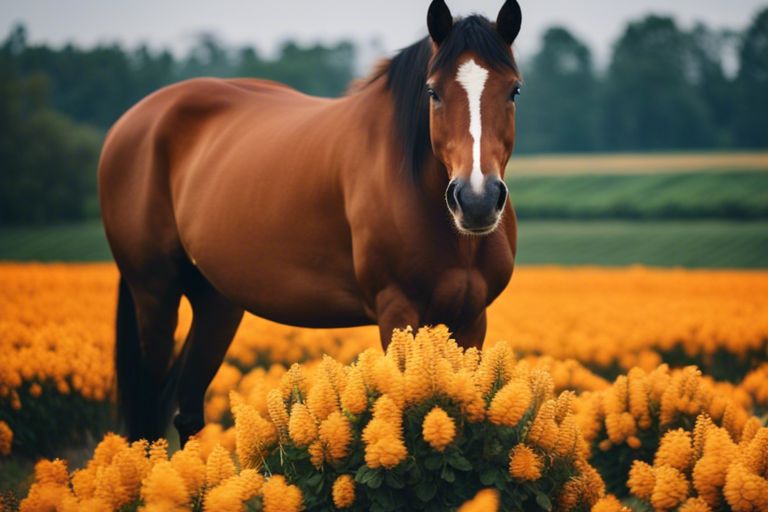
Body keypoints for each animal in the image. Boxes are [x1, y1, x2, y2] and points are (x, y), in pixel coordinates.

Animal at [99, 0, 523, 445]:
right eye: (433, 92)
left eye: (513, 90)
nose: (476, 200)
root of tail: (134, 121)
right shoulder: (397, 312)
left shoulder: (471, 318)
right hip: (155, 296)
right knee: (148, 414)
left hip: (216, 302)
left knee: (188, 409)